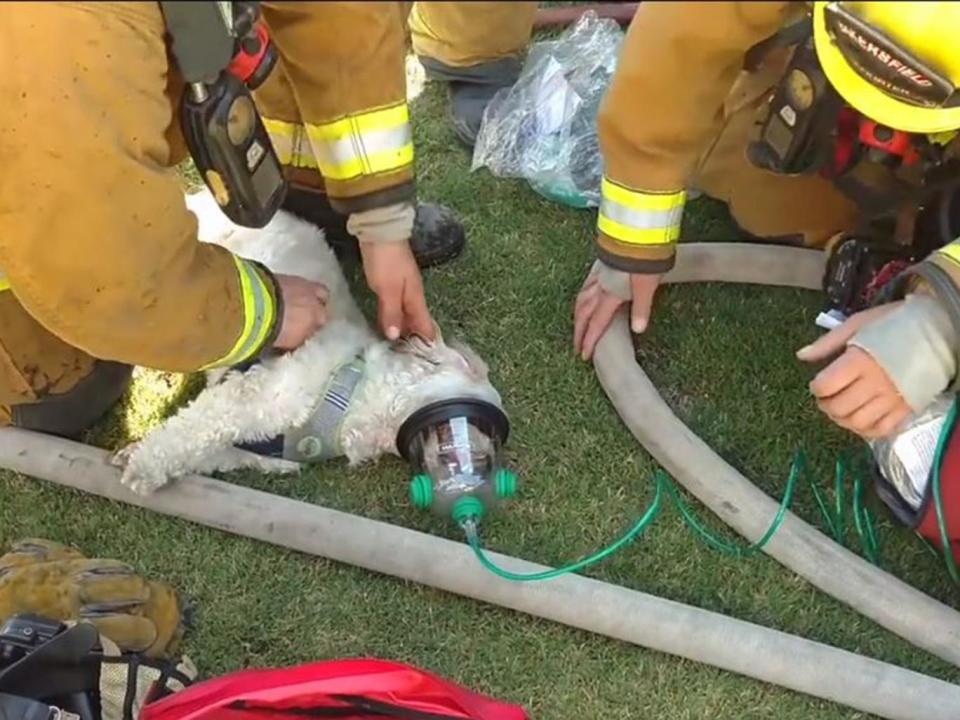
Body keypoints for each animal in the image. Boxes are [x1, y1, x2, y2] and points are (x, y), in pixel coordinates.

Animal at [112, 191, 502, 496]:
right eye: (480, 423)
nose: (486, 463)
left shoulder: (255, 450)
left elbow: (204, 448)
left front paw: (135, 454)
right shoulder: (257, 395)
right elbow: (191, 429)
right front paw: (143, 465)